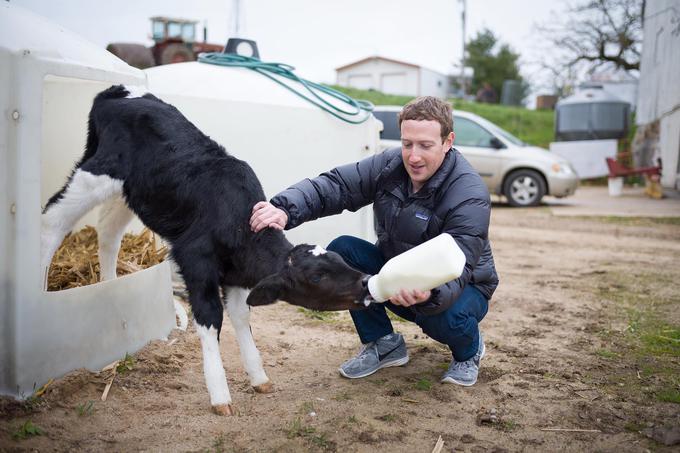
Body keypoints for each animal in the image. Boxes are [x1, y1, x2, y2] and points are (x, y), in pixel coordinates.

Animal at [41, 85, 372, 414]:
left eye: (338, 258)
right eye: (316, 277)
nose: (365, 282)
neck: (240, 224)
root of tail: (116, 92)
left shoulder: (238, 278)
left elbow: (242, 317)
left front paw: (259, 377)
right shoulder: (195, 262)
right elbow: (211, 319)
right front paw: (220, 395)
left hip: (130, 192)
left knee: (108, 233)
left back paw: (108, 283)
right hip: (94, 175)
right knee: (51, 220)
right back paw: (41, 286)